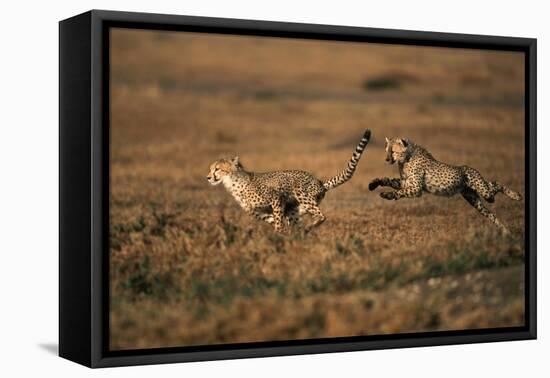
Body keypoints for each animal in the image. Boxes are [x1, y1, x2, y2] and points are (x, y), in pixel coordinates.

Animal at [207, 128, 370, 232]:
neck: (234, 183)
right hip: (295, 211)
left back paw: (309, 228)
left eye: (217, 169)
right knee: (299, 223)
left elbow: (279, 222)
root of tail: (319, 182)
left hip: (301, 193)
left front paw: (278, 236)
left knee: (322, 216)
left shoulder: (276, 198)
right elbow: (276, 221)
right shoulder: (260, 213)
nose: (208, 177)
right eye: (210, 168)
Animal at [370, 137, 520, 235]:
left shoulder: (416, 188)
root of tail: (469, 168)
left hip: (485, 192)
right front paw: (374, 183)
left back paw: (516, 196)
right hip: (473, 200)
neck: (406, 158)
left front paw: (388, 195)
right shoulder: (407, 182)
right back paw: (505, 231)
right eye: (386, 150)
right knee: (491, 213)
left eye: (393, 151)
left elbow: (400, 192)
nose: (387, 159)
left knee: (495, 185)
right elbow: (389, 180)